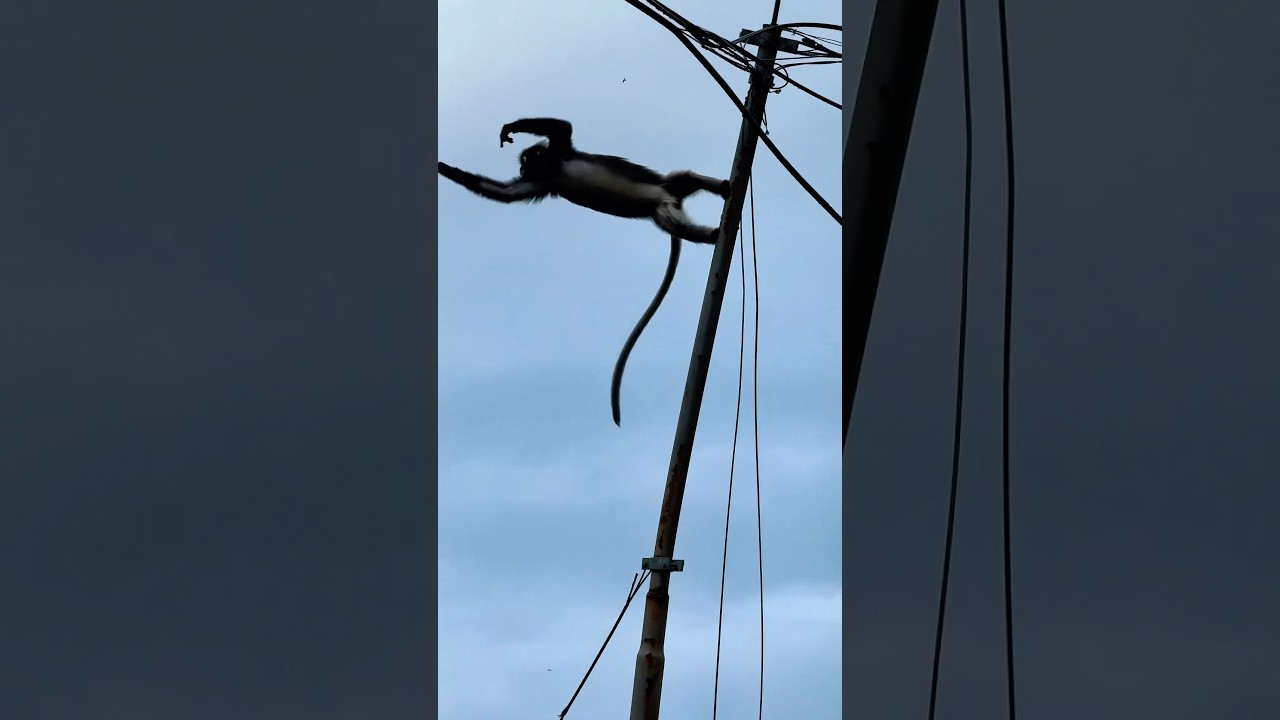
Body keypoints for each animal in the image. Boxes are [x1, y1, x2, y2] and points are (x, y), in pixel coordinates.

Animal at [437, 117, 730, 426]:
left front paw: (510, 128)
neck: (553, 168)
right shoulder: (543, 182)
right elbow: (507, 194)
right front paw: (445, 169)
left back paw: (724, 192)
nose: (520, 169)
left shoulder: (559, 154)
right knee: (679, 215)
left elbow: (561, 128)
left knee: (684, 178)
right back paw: (712, 233)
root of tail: (671, 199)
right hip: (662, 211)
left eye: (526, 160)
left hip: (665, 190)